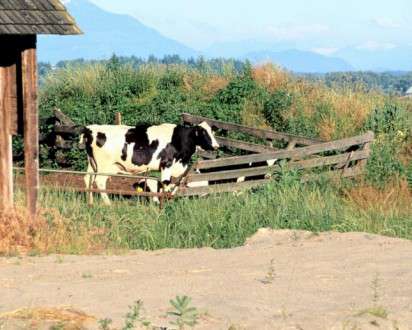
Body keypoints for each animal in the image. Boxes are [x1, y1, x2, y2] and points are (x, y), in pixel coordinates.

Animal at [79, 121, 219, 204]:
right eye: (203, 132)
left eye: (212, 131)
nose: (216, 146)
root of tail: (90, 129)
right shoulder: (166, 163)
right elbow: (166, 183)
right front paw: (165, 201)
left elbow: (181, 180)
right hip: (105, 166)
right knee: (99, 181)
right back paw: (108, 204)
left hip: (92, 164)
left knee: (87, 179)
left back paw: (90, 202)